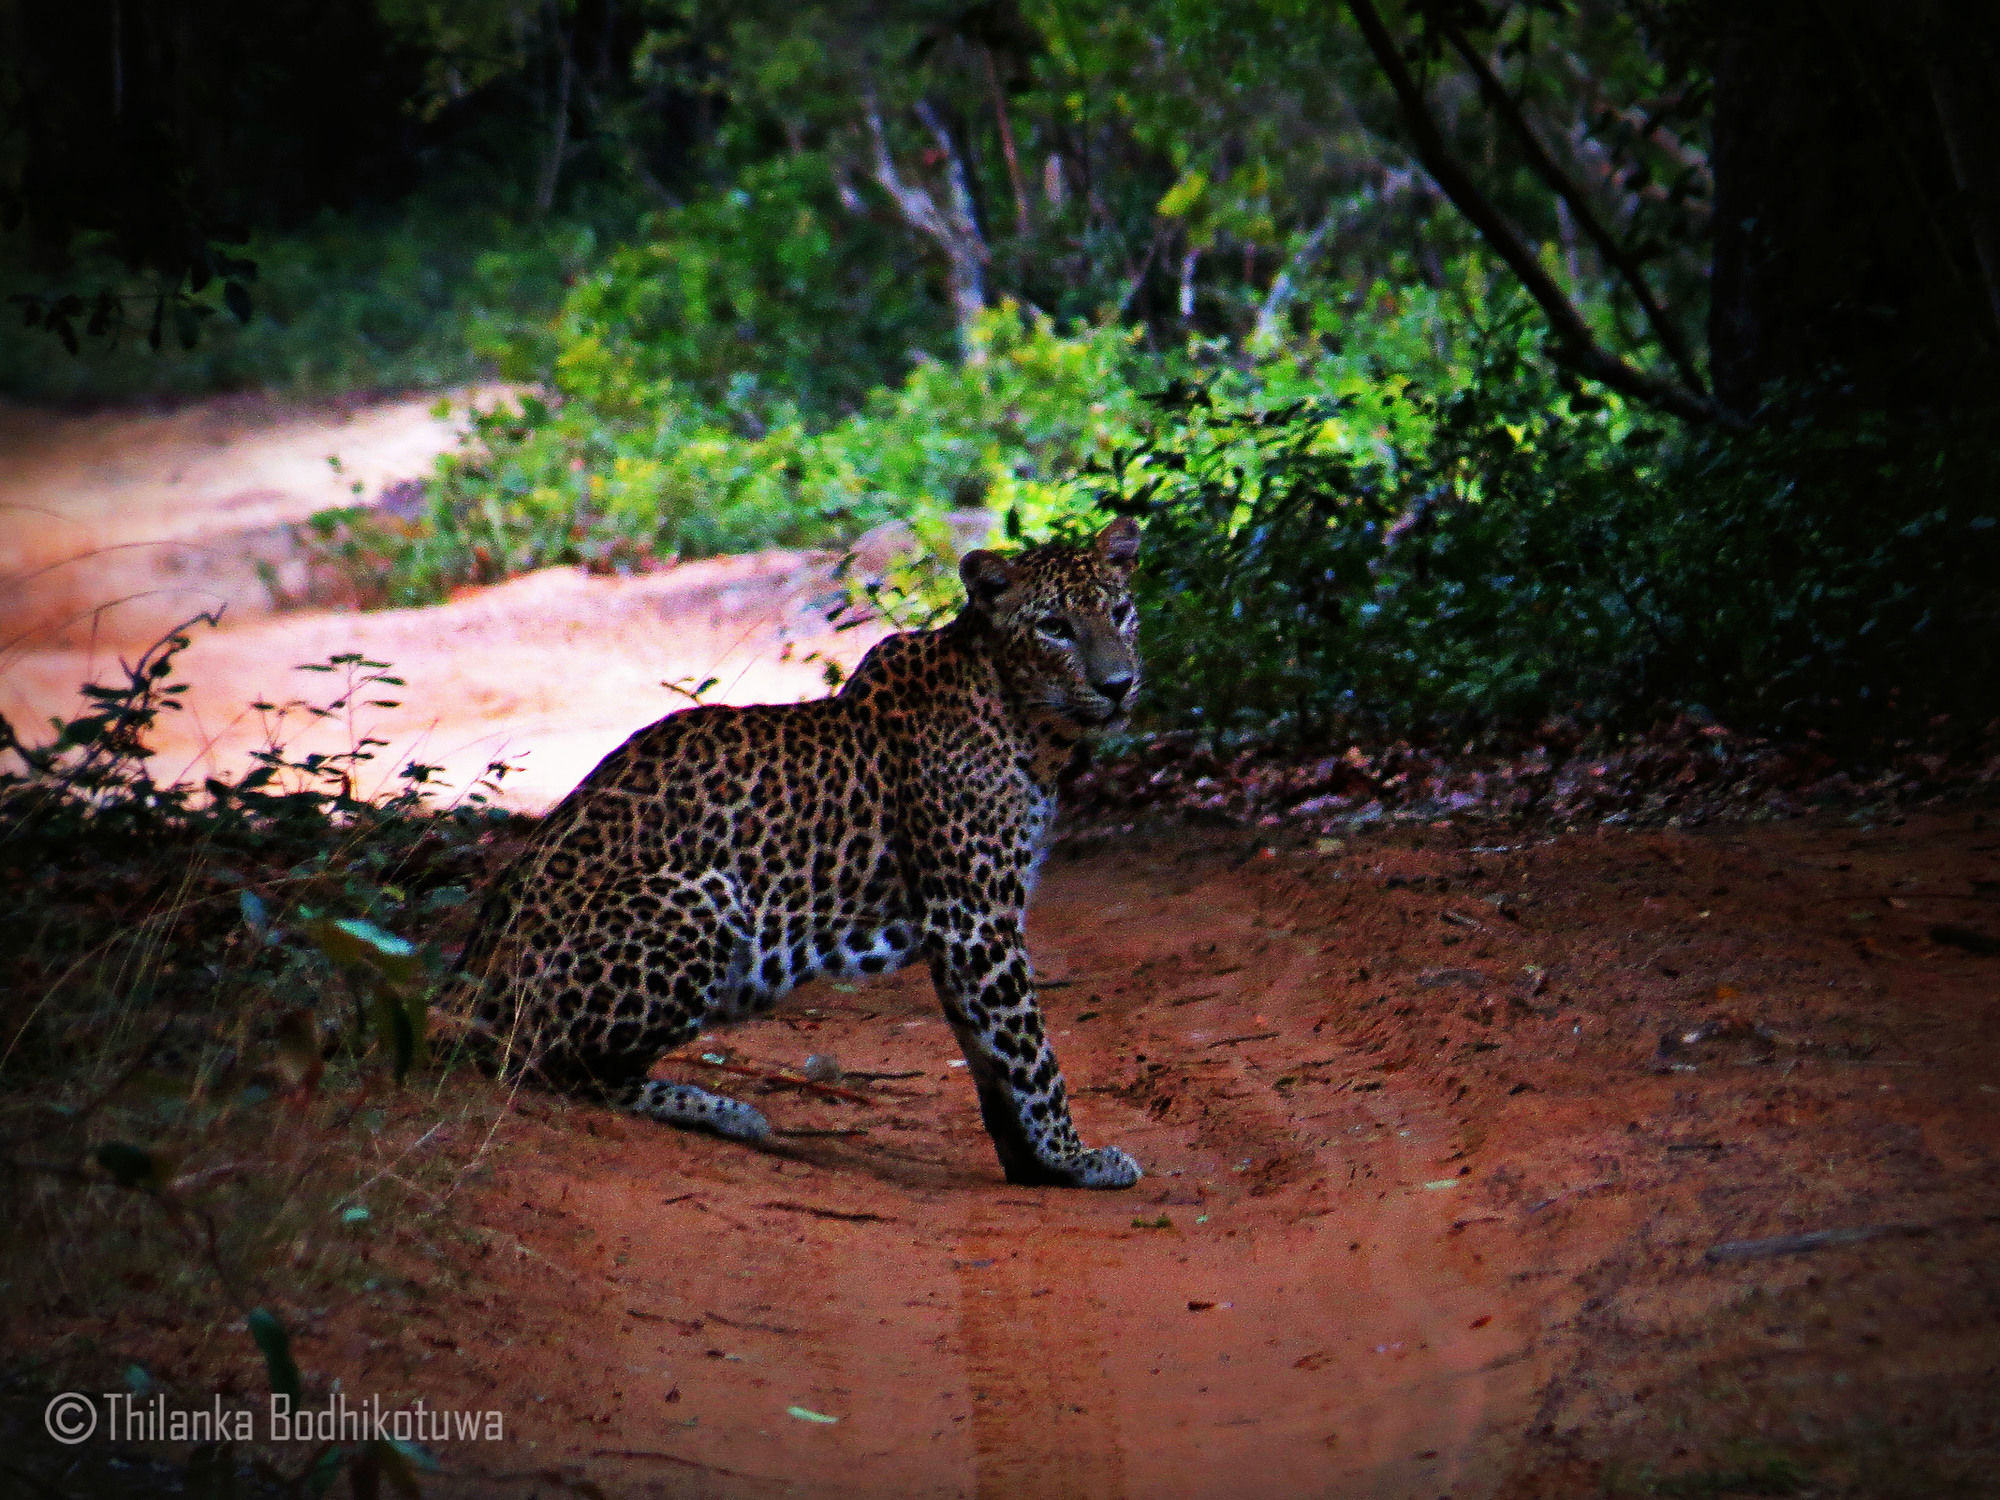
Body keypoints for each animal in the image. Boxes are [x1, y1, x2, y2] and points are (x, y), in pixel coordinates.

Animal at [448, 524, 1152, 1192]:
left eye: (1120, 613)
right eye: (1054, 628)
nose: (1118, 686)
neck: (1028, 725)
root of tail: (470, 975)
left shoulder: (966, 931)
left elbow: (990, 1055)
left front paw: (1033, 1164)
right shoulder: (975, 920)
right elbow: (1030, 1053)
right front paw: (1075, 1159)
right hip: (700, 897)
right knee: (556, 1066)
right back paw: (724, 1111)